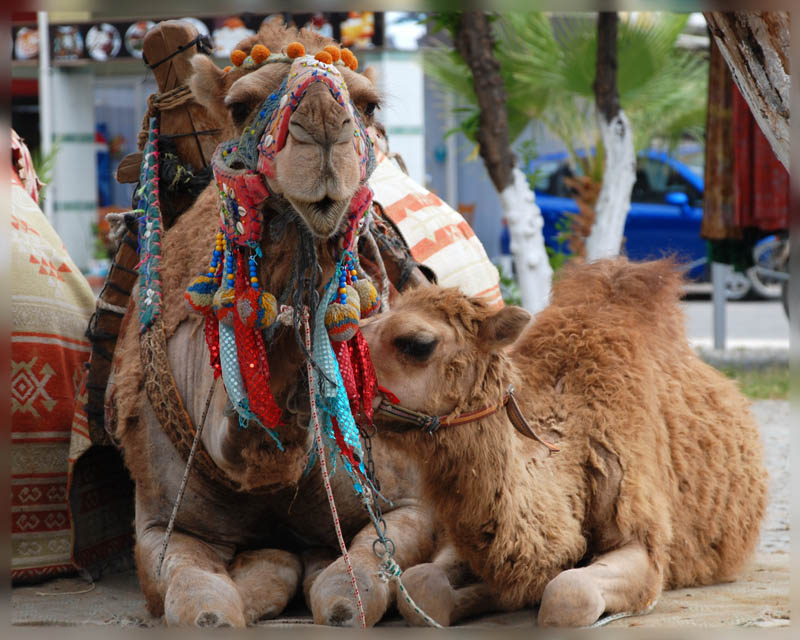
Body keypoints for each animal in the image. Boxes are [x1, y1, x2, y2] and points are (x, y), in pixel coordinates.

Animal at [109, 22, 437, 627]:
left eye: (368, 104)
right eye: (240, 107)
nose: (323, 128)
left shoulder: (407, 500)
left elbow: (351, 590)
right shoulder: (160, 524)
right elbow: (199, 600)